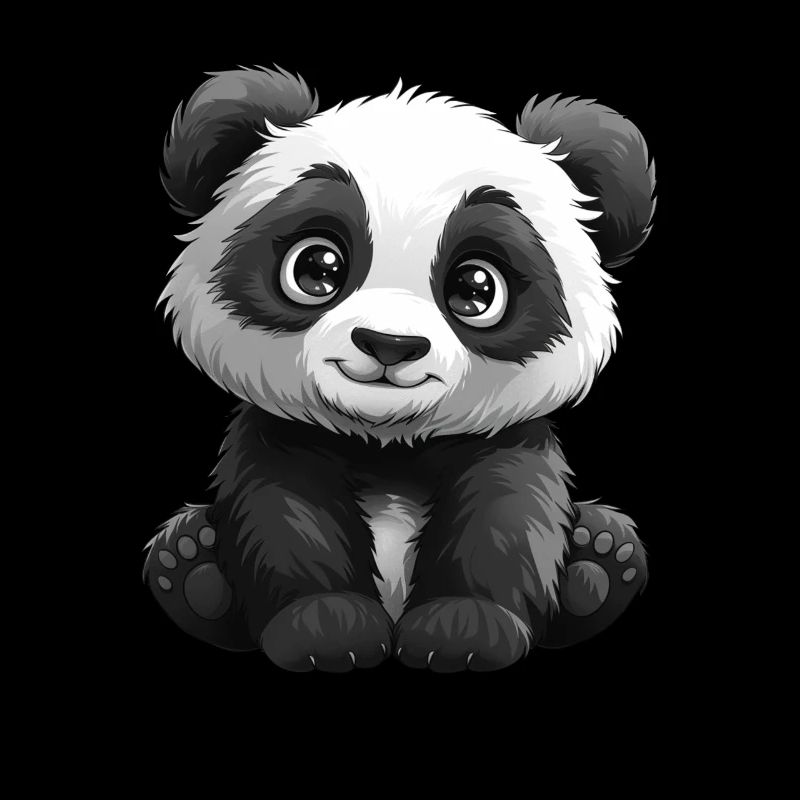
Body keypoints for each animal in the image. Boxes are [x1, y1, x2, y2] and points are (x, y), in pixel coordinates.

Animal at [143, 66, 655, 672]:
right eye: (317, 268)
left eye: (476, 288)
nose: (390, 344)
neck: (387, 443)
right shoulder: (281, 435)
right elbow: (283, 514)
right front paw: (325, 626)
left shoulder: (506, 441)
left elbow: (506, 516)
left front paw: (466, 629)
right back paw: (190, 564)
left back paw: (601, 560)